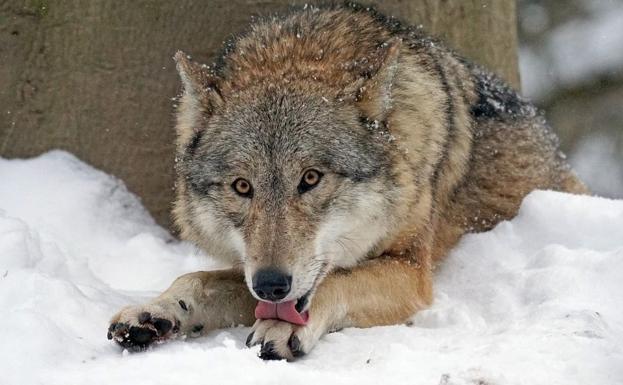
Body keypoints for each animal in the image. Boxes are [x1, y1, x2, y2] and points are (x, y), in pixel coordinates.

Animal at [105, 2, 588, 360]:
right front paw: (155, 311)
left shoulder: (412, 271)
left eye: (311, 178)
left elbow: (337, 281)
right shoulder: (252, 270)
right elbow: (196, 279)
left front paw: (278, 325)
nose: (271, 285)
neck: (299, 53)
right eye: (242, 187)